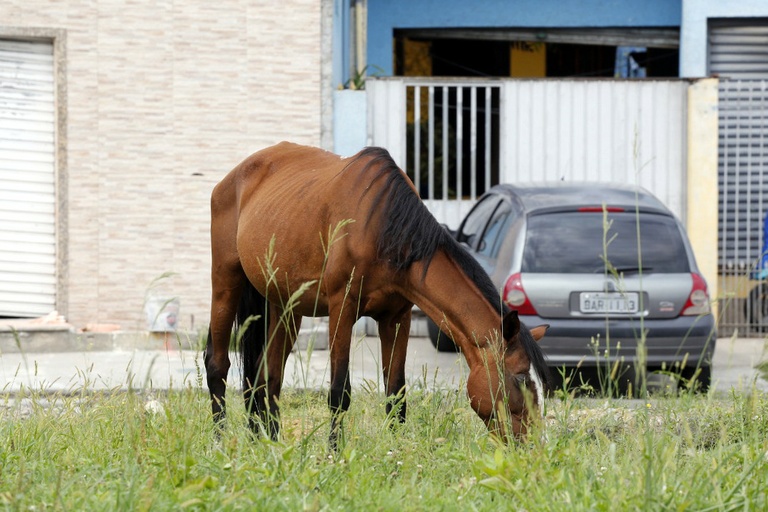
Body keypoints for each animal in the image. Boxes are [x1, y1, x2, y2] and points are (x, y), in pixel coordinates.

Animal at [204, 142, 552, 446]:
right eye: (521, 378)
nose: (534, 445)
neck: (383, 228)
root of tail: (231, 179)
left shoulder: (397, 318)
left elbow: (396, 394)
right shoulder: (341, 310)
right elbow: (339, 392)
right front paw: (334, 453)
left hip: (284, 308)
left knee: (267, 376)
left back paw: (267, 442)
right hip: (226, 283)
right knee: (218, 364)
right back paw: (220, 441)